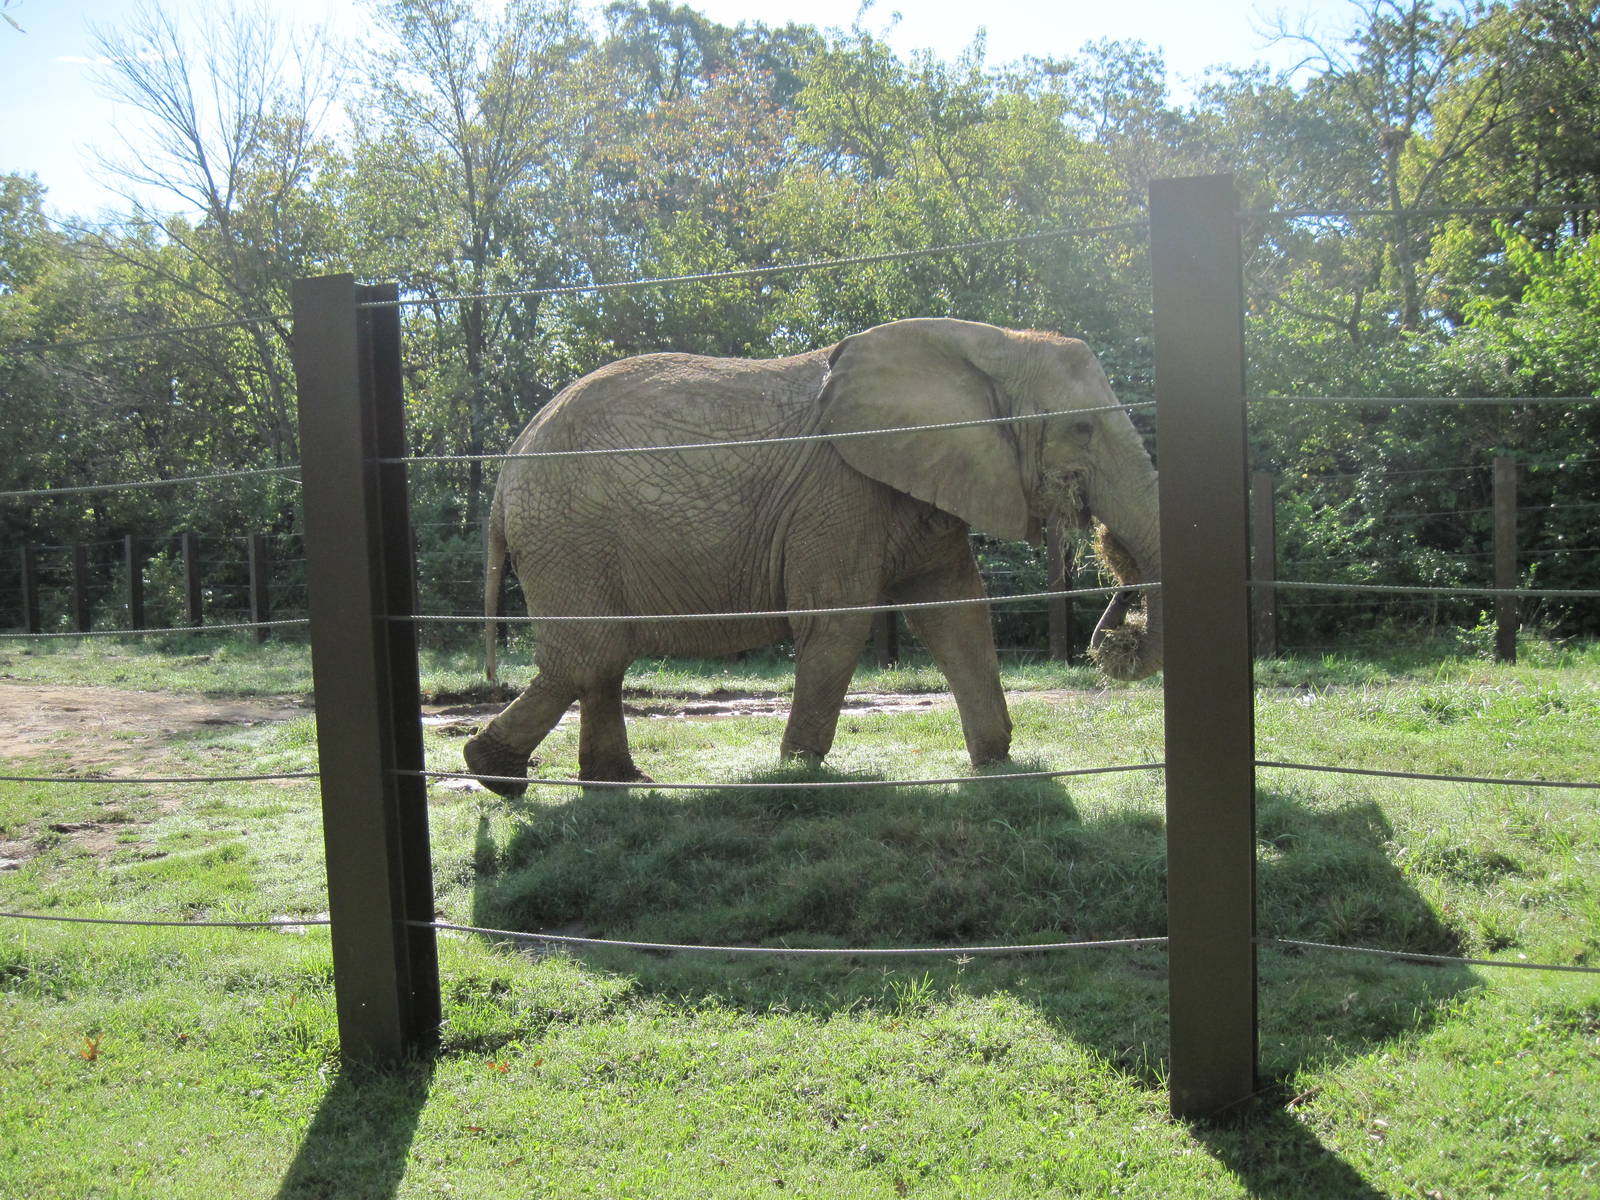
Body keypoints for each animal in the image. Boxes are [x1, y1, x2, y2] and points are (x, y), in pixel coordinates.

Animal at [462, 317, 1160, 795]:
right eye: (1082, 429)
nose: (1118, 632)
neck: (990, 344)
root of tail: (506, 474)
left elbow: (956, 613)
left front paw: (999, 769)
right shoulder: (840, 493)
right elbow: (840, 620)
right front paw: (797, 773)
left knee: (600, 661)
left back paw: (613, 785)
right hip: (567, 532)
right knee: (590, 656)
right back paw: (496, 775)